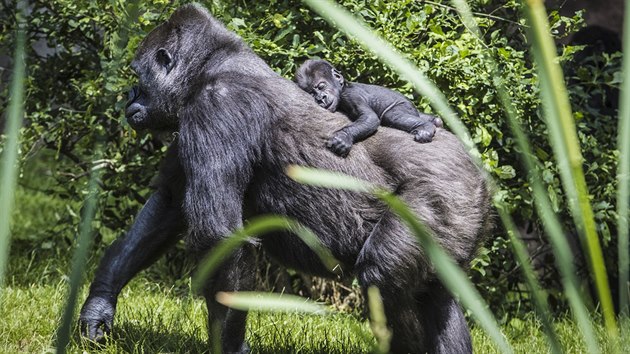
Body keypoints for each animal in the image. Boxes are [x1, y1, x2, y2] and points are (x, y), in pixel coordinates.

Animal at [298, 59, 442, 156]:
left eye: (321, 86)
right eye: (312, 93)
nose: (320, 98)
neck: (344, 86)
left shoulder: (350, 95)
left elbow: (370, 117)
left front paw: (343, 137)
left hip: (405, 106)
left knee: (392, 115)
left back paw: (426, 127)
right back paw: (435, 121)